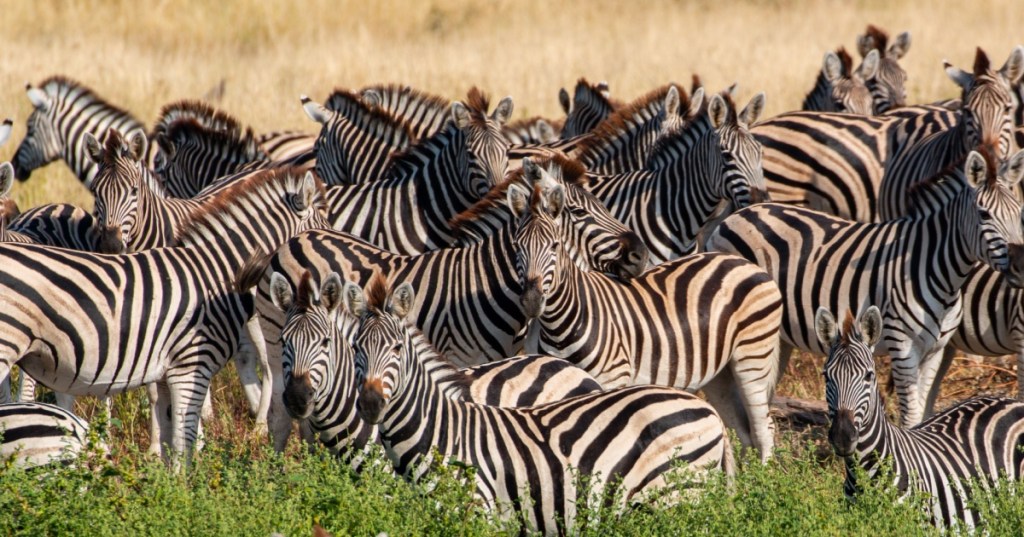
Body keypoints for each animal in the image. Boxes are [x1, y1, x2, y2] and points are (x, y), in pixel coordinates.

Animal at [0, 166, 329, 463]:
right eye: (321, 226)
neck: (216, 270)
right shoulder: (191, 366)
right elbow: (184, 444)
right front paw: (187, 484)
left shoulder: (163, 371)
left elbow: (172, 440)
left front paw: (163, 478)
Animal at [344, 274, 732, 535]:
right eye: (355, 347)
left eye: (397, 349)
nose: (371, 404)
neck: (439, 432)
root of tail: (710, 412)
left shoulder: (478, 511)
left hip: (678, 499)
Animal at [510, 181, 782, 461]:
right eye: (517, 247)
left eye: (554, 246)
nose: (531, 300)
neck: (562, 322)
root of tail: (745, 262)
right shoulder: (554, 381)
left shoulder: (612, 379)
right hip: (720, 371)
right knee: (744, 429)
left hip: (753, 355)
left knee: (763, 426)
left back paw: (764, 472)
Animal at [705, 146, 1024, 428]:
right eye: (984, 214)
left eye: (1020, 213)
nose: (1020, 263)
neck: (938, 268)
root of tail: (732, 218)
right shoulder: (902, 345)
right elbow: (911, 415)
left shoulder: (935, 350)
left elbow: (923, 410)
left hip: (778, 337)